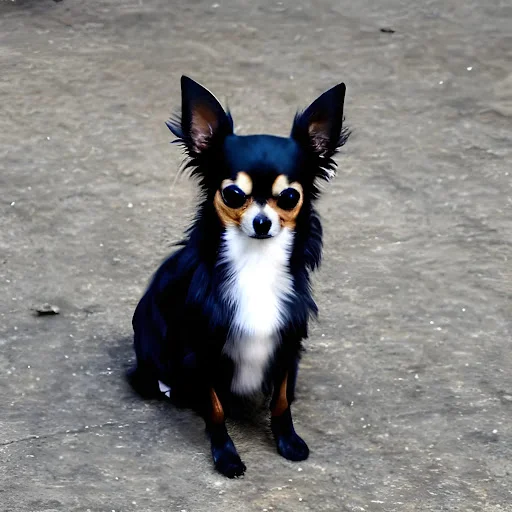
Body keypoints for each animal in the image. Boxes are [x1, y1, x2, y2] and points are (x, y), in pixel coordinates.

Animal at [128, 76, 349, 478]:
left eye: (289, 196)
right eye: (233, 194)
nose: (261, 222)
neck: (255, 263)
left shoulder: (288, 341)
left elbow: (281, 401)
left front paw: (287, 442)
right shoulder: (203, 350)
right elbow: (215, 408)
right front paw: (226, 455)